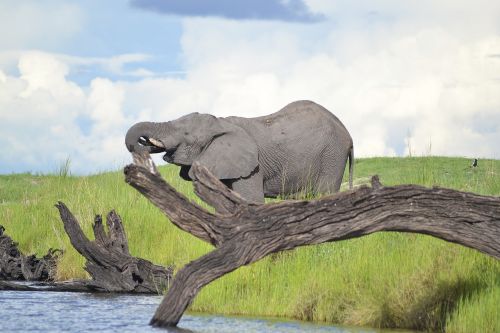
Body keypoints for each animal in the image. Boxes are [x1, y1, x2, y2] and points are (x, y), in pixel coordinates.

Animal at [127, 99, 358, 202]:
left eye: (186, 134)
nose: (142, 140)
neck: (221, 123)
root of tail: (348, 133)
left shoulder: (252, 166)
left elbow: (251, 201)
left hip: (331, 156)